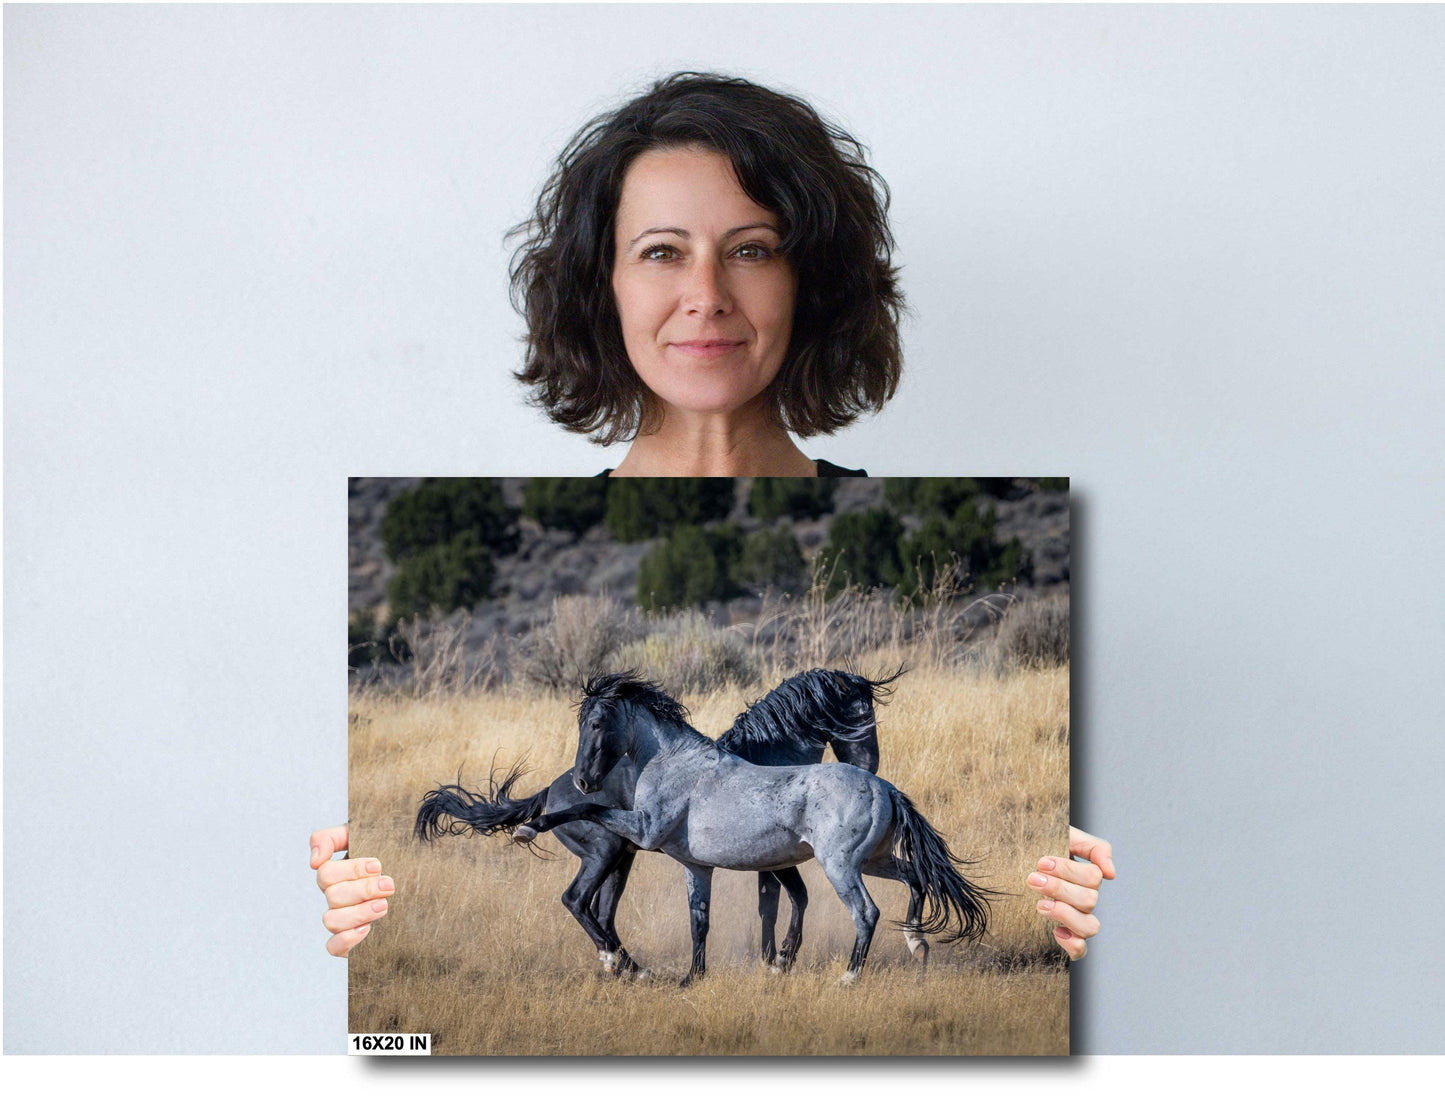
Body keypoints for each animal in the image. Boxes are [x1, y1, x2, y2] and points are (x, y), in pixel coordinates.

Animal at [413, 670, 895, 976]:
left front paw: (776, 960)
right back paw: (621, 963)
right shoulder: (772, 859)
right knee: (576, 900)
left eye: (594, 724)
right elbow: (782, 902)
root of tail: (552, 788)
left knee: (600, 912)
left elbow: (782, 903)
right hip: (606, 851)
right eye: (858, 716)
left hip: (619, 861)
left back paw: (625, 966)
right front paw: (777, 960)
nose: (586, 781)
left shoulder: (770, 857)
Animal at [508, 673, 994, 982]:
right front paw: (694, 977)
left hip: (841, 866)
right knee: (916, 878)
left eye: (595, 723)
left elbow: (589, 810)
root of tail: (885, 789)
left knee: (867, 912)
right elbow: (700, 921)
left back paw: (850, 977)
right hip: (872, 860)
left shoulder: (645, 830)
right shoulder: (696, 866)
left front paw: (531, 829)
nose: (583, 781)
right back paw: (917, 945)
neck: (671, 762)